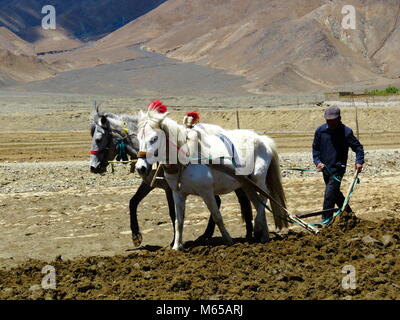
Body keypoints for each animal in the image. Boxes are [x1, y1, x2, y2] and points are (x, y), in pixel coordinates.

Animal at [135, 110, 288, 250]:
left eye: (154, 138)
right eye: (138, 138)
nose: (140, 167)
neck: (186, 160)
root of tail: (263, 140)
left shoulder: (207, 192)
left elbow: (217, 216)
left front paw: (228, 240)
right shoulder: (177, 194)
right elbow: (179, 221)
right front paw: (176, 247)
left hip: (258, 178)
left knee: (265, 196)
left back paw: (257, 228)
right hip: (247, 184)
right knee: (257, 202)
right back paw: (264, 235)